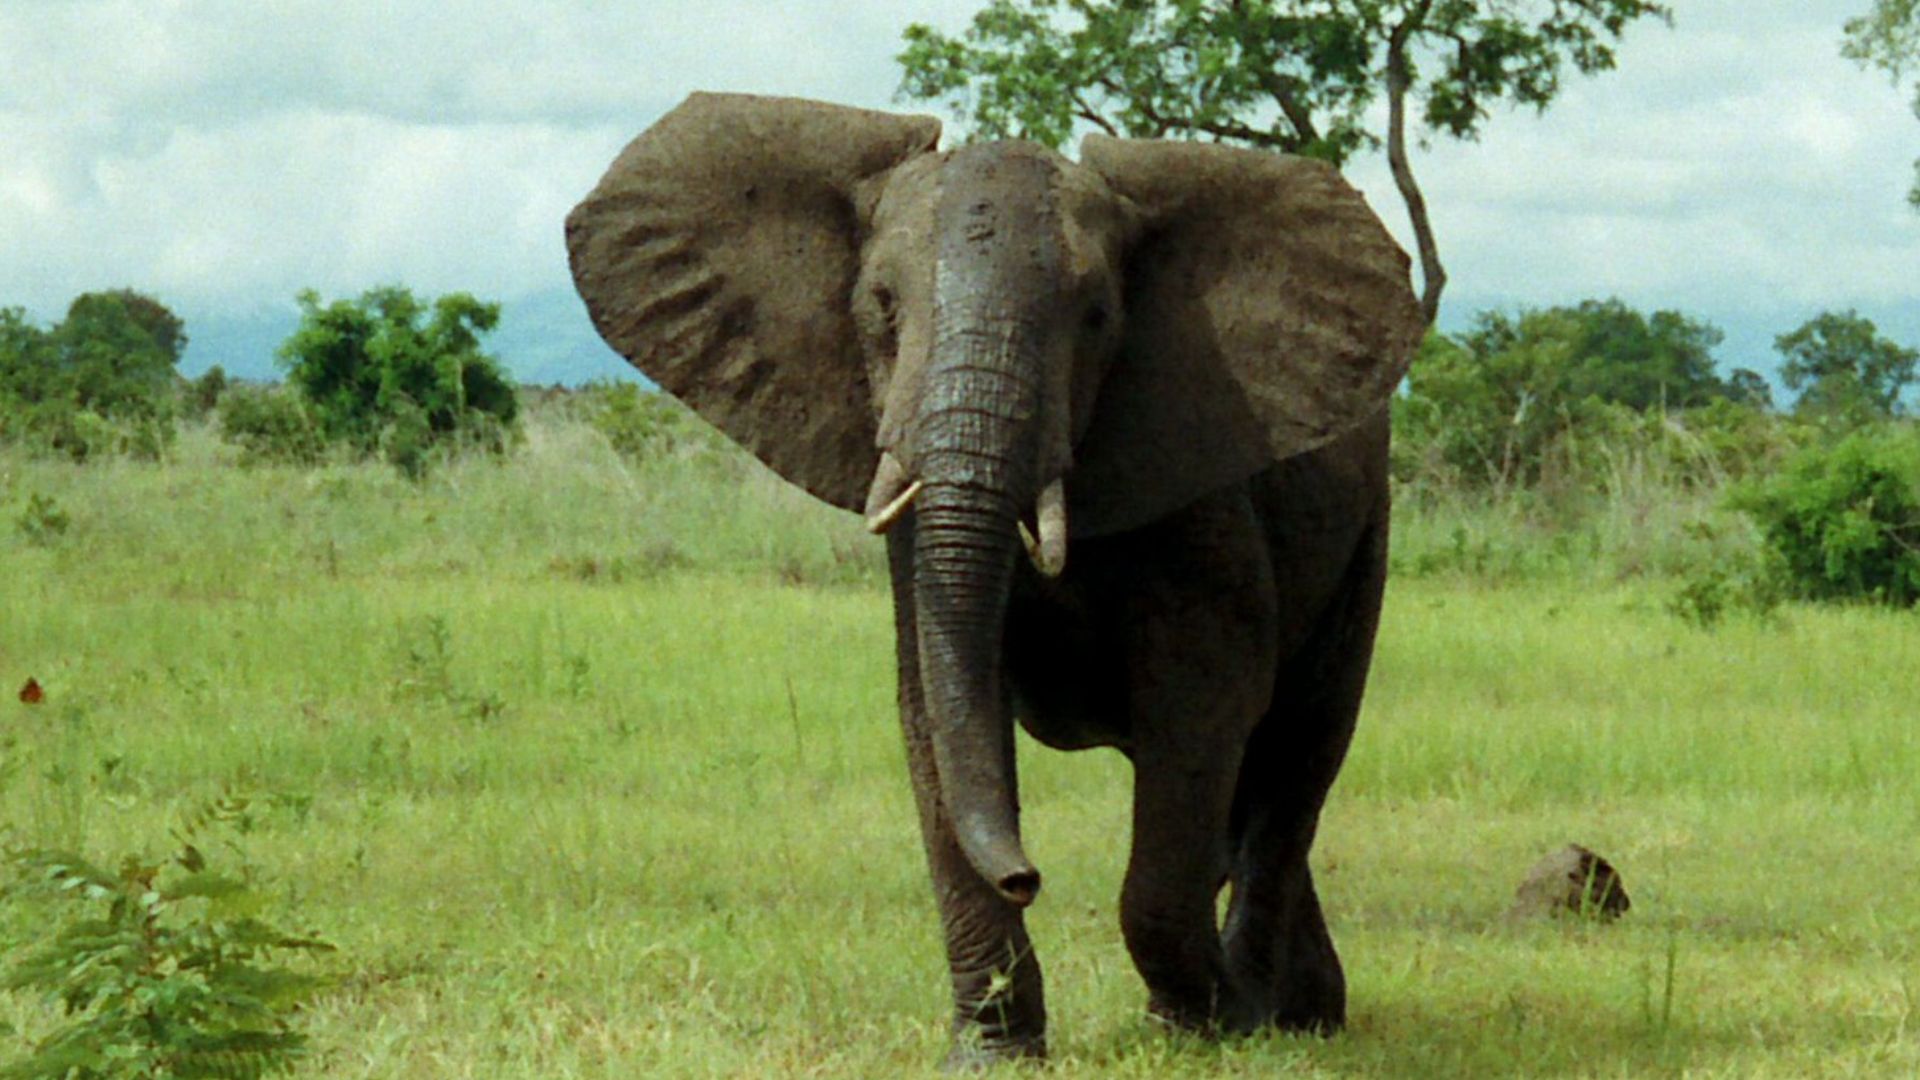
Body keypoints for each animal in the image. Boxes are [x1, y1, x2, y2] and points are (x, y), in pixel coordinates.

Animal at [566, 92, 1423, 1065]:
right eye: (881, 306)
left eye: (1098, 316)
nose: (1026, 875)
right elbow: (933, 704)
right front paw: (993, 1054)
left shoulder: (1199, 477)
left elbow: (1206, 693)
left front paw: (1203, 1029)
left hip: (1369, 530)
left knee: (1296, 755)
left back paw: (1281, 1016)